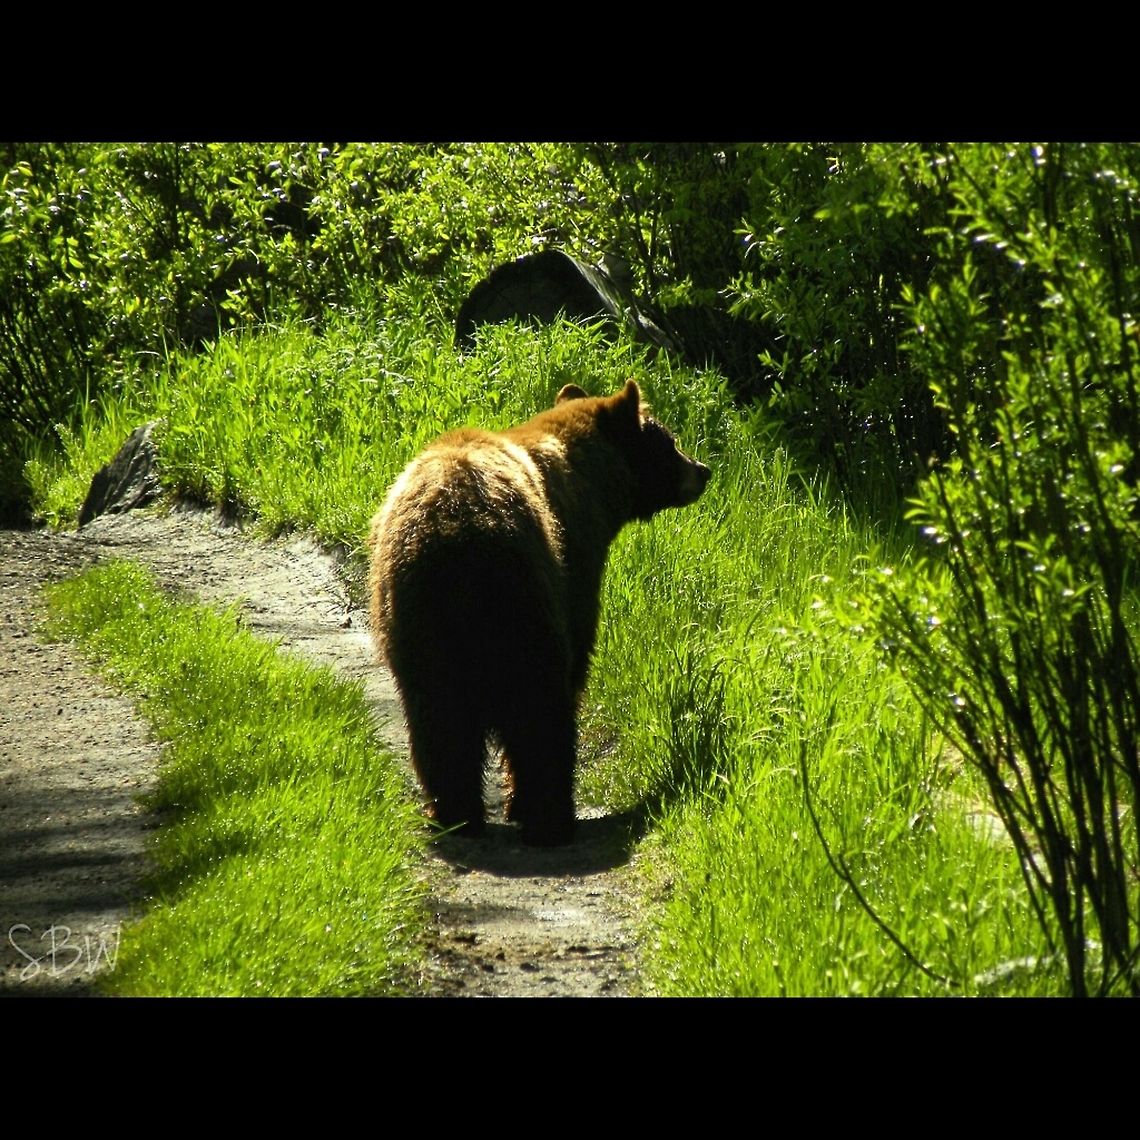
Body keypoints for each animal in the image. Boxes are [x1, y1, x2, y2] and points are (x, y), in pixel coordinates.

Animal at [368, 378, 711, 846]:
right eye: (668, 441)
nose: (702, 470)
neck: (589, 479)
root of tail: (455, 531)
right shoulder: (575, 567)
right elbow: (577, 658)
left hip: (414, 618)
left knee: (439, 721)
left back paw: (454, 814)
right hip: (526, 603)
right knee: (539, 707)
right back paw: (550, 817)